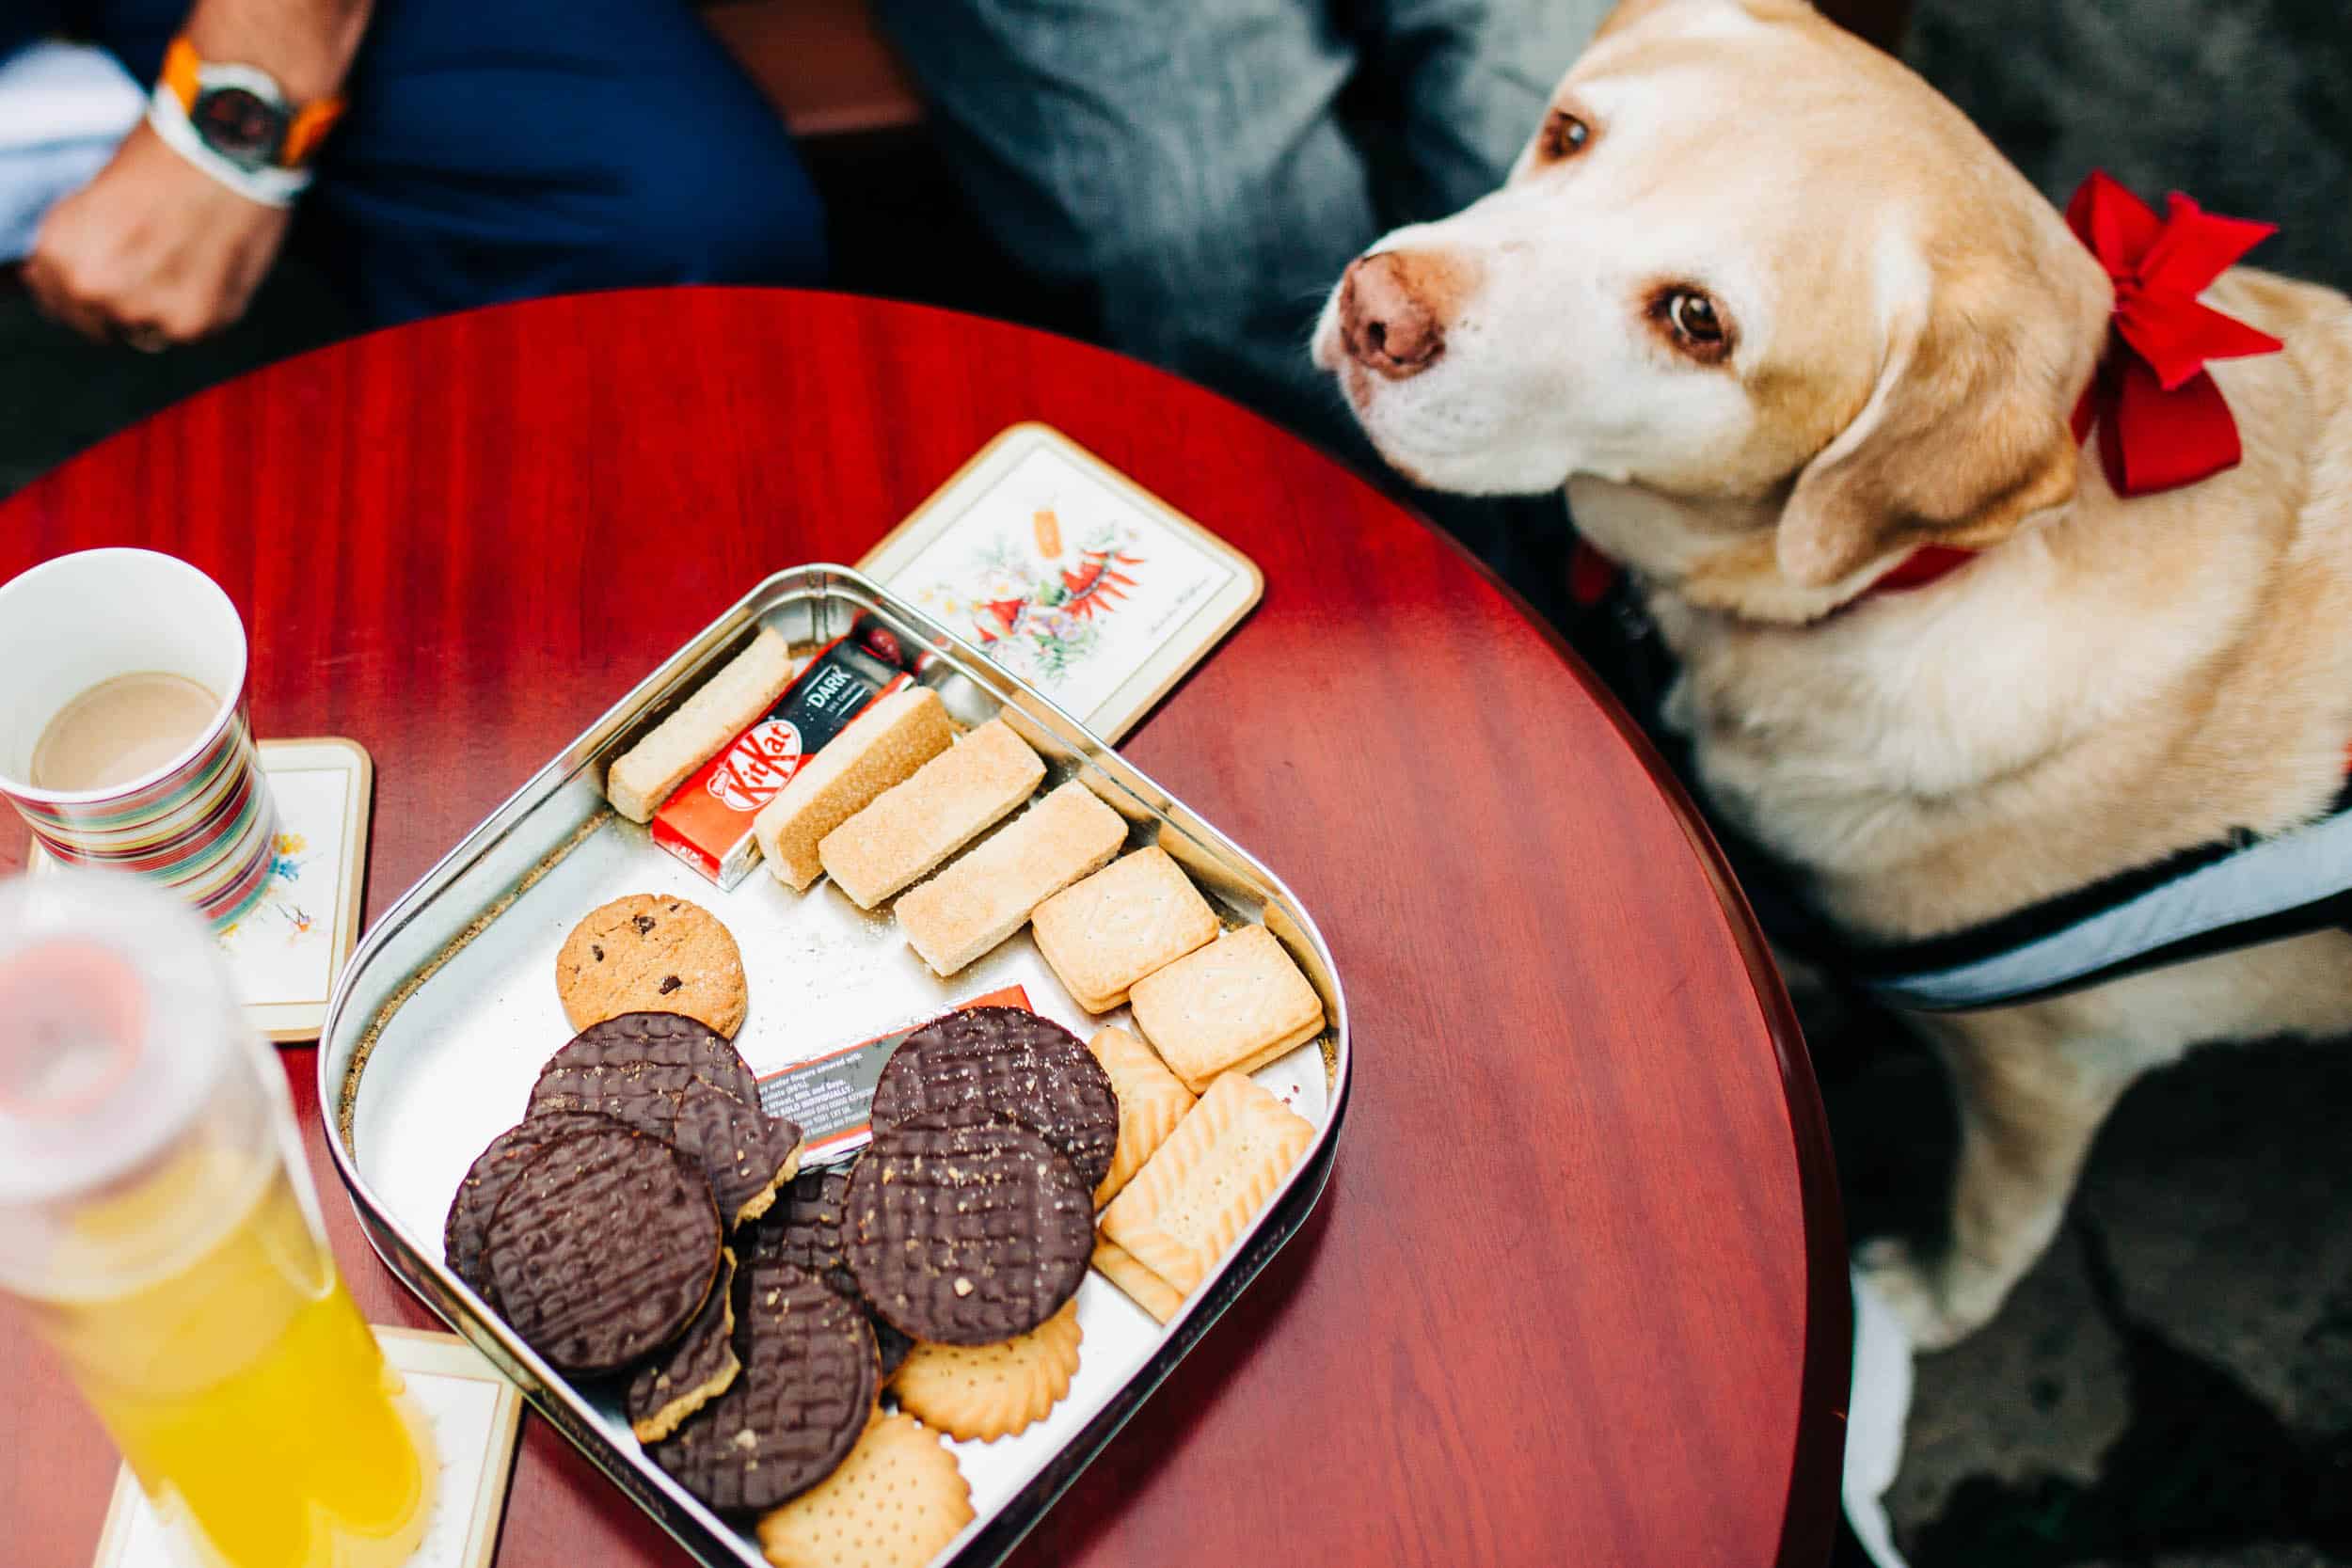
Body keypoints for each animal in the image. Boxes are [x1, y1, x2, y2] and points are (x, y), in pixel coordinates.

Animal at [1317, 0, 2352, 1354]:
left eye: (1696, 320)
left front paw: (1923, 1305)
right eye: (1569, 132)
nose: (1375, 308)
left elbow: (2000, 1216)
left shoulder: (2047, 1058)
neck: (1934, 572)